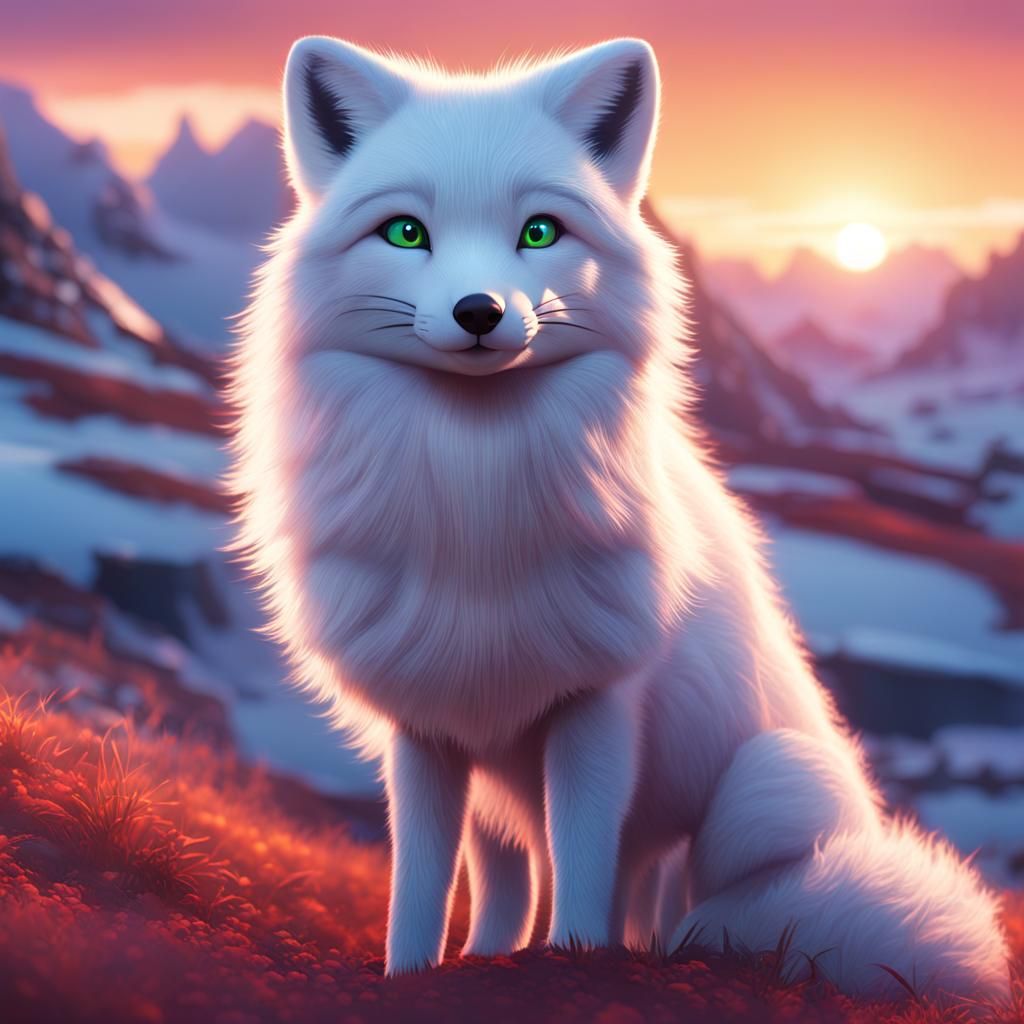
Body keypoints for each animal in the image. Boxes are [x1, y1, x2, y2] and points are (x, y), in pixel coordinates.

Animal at [228, 35, 1010, 1001]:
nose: (480, 312)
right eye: (406, 232)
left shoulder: (598, 704)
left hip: (761, 793)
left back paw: (660, 952)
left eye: (539, 232)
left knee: (676, 898)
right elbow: (428, 882)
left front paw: (570, 961)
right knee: (571, 885)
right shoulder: (432, 722)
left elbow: (581, 860)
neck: (478, 501)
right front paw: (418, 970)